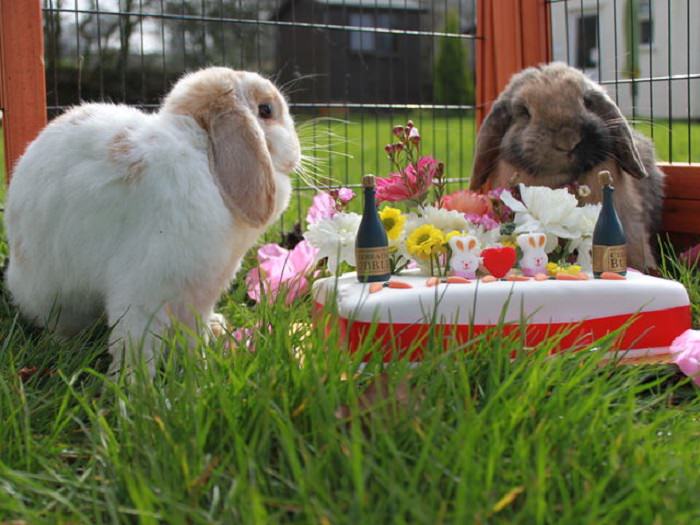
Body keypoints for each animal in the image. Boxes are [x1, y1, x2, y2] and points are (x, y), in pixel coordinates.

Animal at [3, 67, 298, 374]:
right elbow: (135, 344)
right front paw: (134, 383)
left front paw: (198, 370)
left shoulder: (197, 295)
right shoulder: (145, 288)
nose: (296, 153)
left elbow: (192, 336)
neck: (204, 154)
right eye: (266, 110)